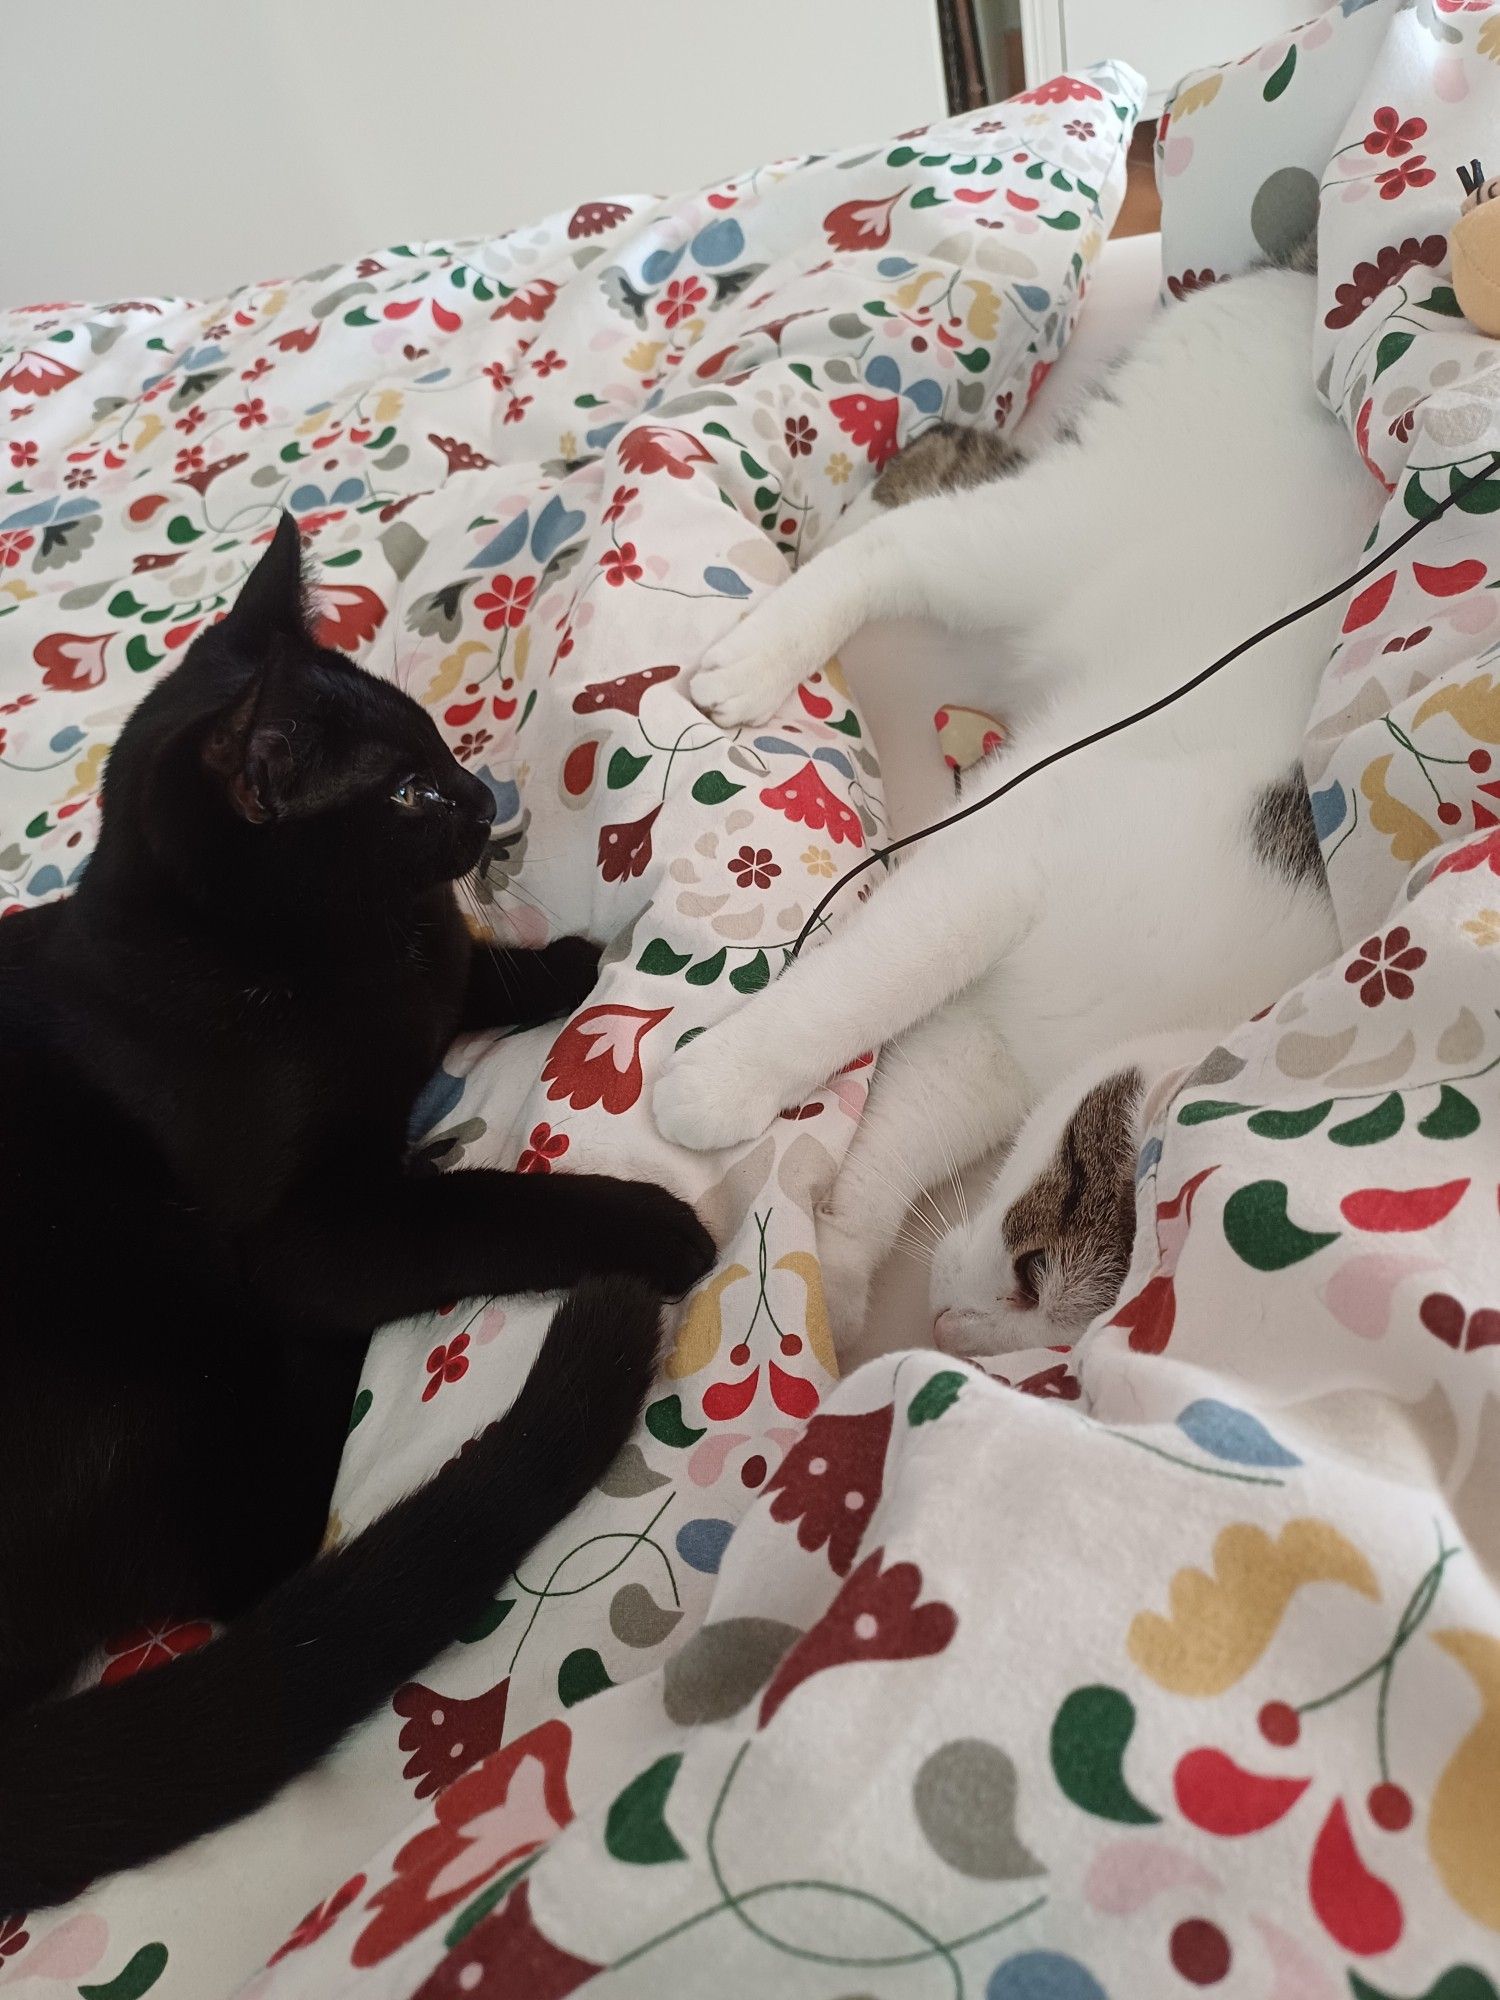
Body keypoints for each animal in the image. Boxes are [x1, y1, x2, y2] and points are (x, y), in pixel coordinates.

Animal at [0, 516, 712, 1904]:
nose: (484, 799)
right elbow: (486, 1211)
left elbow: (466, 977)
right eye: (404, 793)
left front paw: (565, 962)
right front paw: (654, 1222)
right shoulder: (310, 1236)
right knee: (251, 1552)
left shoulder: (423, 972)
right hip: (142, 1288)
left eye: (435, 744)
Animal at [656, 266, 1384, 1352]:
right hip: (1067, 528)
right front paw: (718, 1085)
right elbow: (859, 990)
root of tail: (1291, 276)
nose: (952, 1327)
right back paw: (759, 650)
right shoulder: (1012, 851)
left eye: (1046, 1351)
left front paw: (838, 1266)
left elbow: (912, 1112)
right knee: (905, 539)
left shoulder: (1004, 1040)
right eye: (1038, 1265)